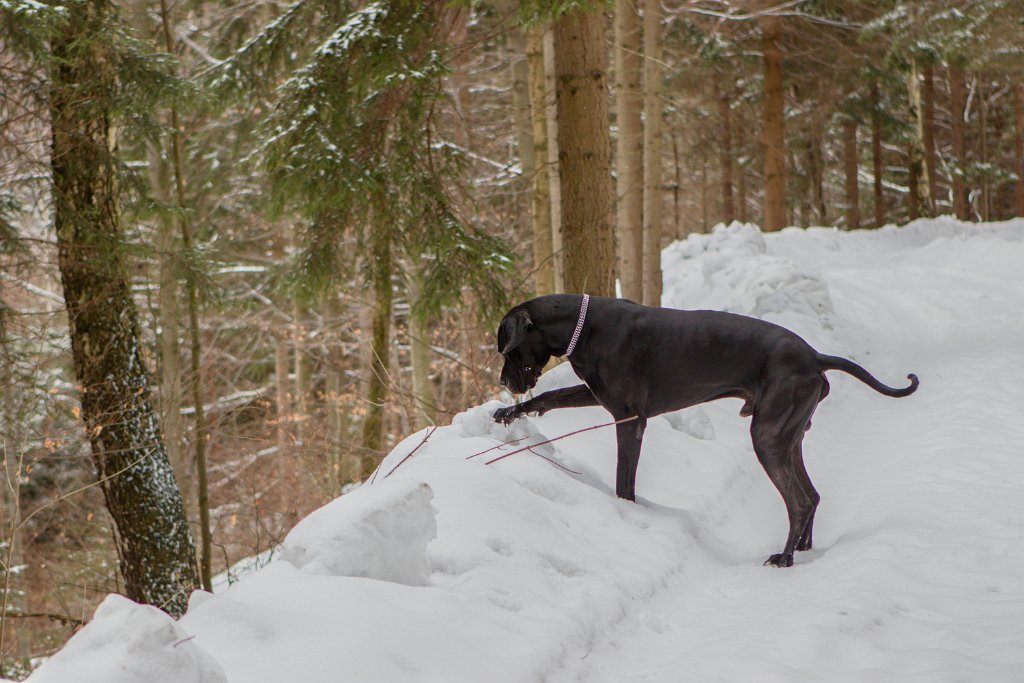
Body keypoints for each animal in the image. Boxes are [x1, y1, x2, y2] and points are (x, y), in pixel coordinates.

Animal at [491, 294, 917, 565]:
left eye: (507, 349)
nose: (505, 383)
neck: (585, 327)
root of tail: (814, 356)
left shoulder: (629, 419)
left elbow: (624, 480)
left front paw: (627, 512)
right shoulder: (597, 395)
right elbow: (552, 395)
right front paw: (510, 413)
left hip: (768, 436)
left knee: (797, 500)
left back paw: (785, 556)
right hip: (789, 436)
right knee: (811, 495)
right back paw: (803, 547)